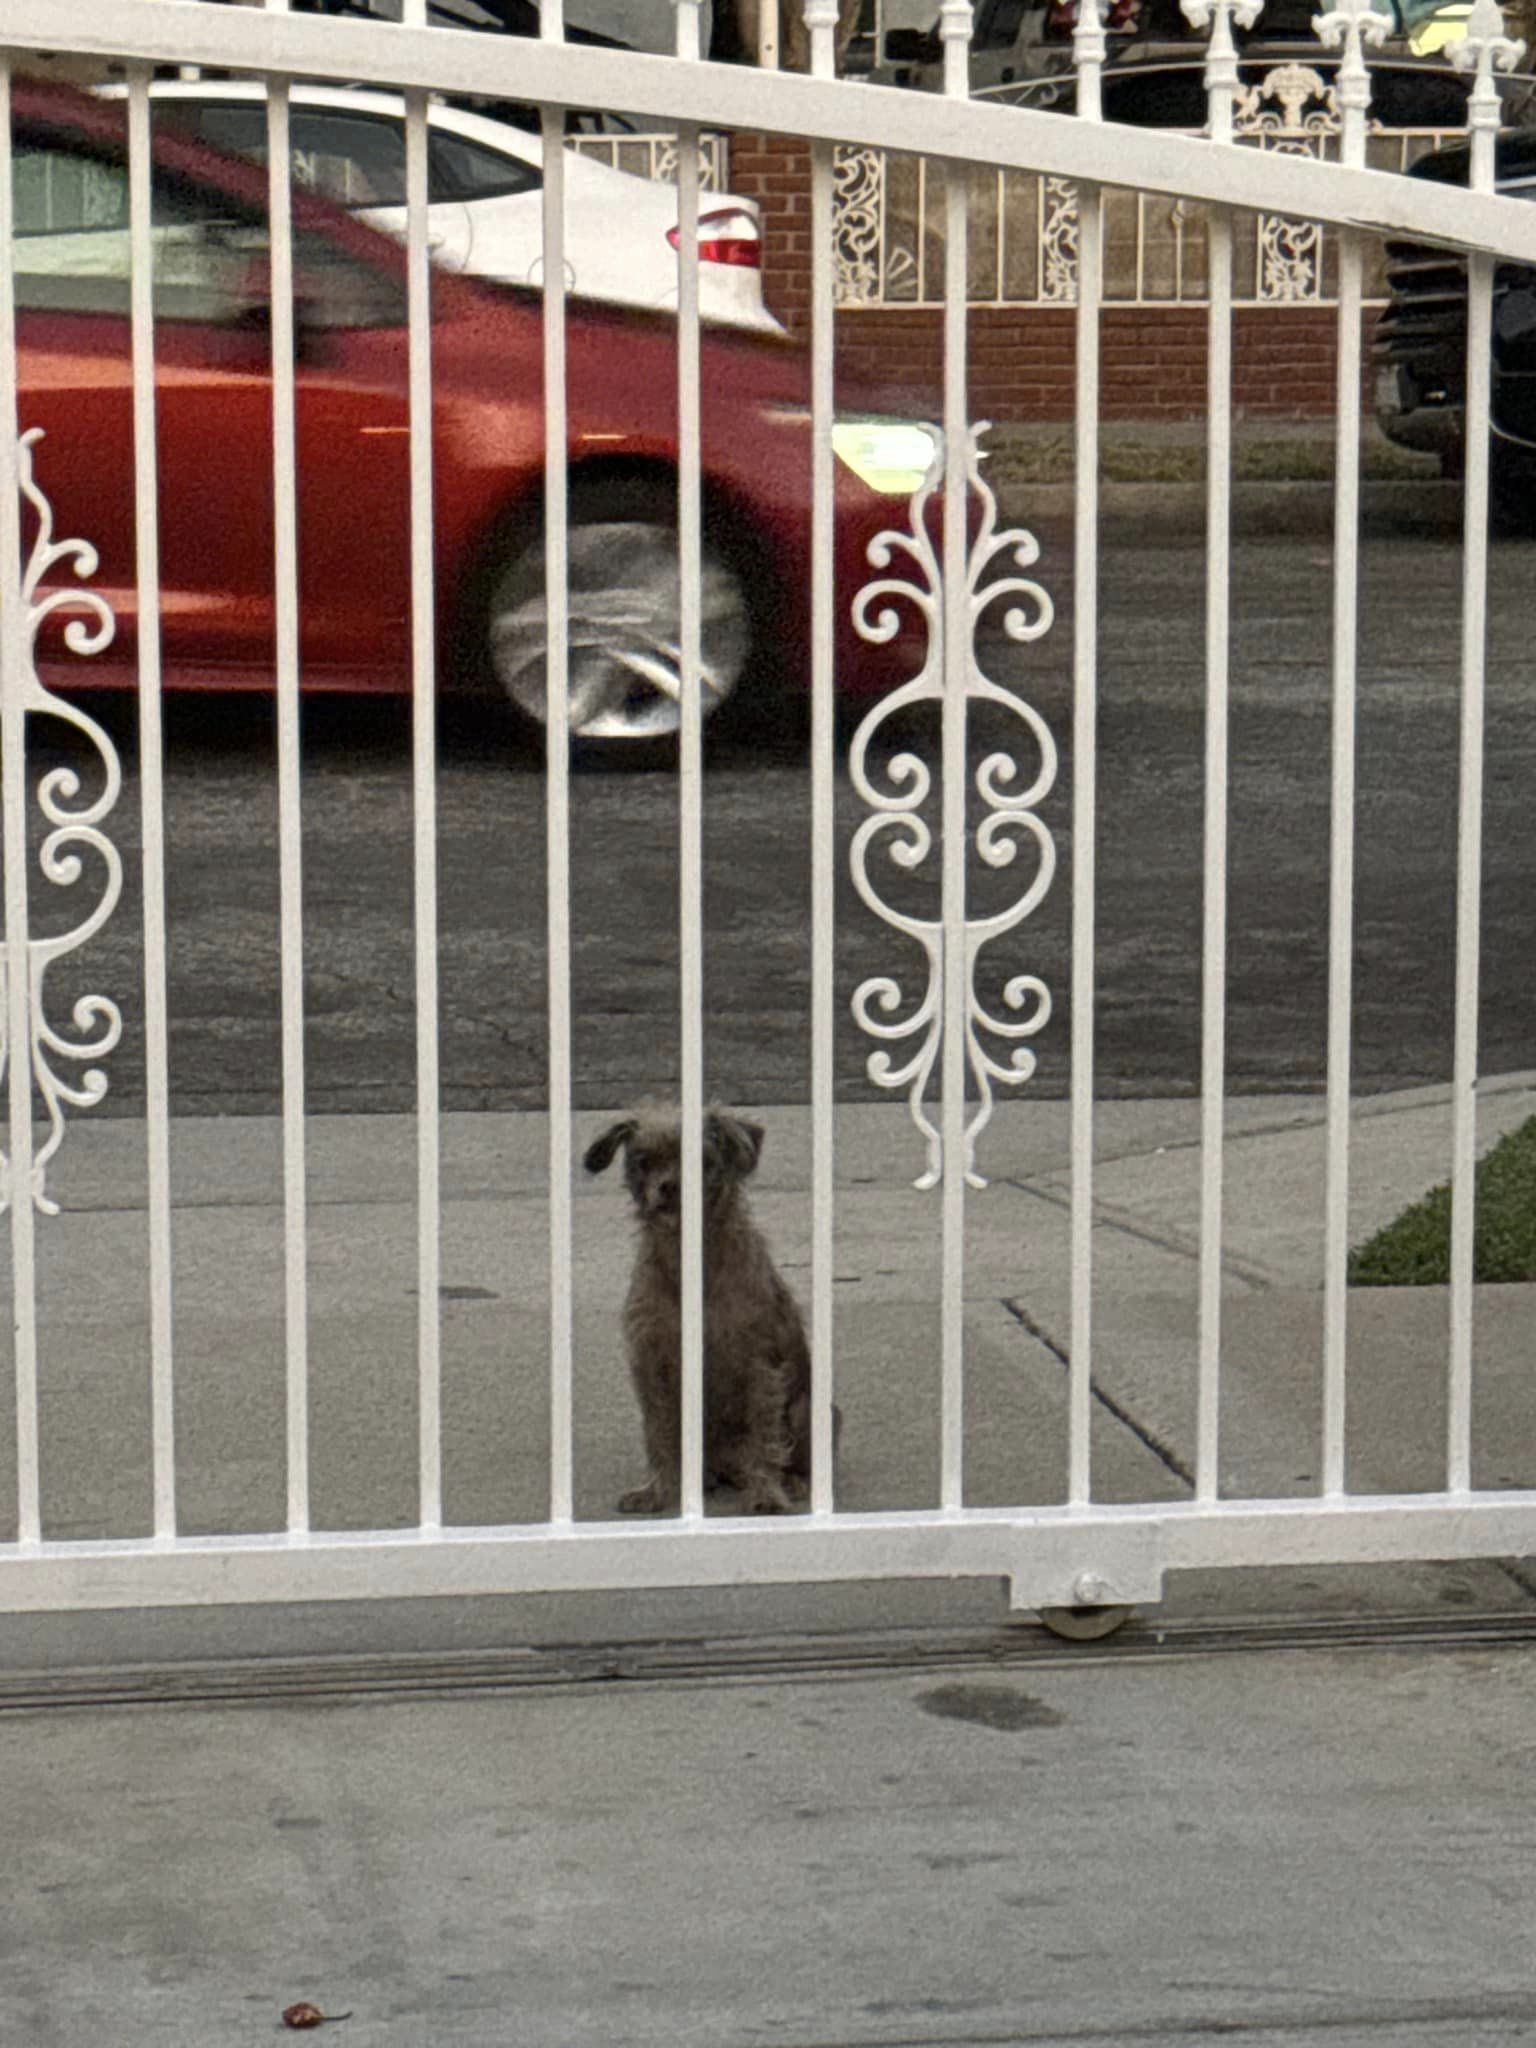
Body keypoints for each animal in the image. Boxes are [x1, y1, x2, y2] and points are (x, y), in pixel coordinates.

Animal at [581, 1105, 835, 1523]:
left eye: (700, 1158)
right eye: (642, 1161)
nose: (669, 1186)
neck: (691, 1259)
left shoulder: (759, 1363)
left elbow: (764, 1432)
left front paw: (766, 1492)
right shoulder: (652, 1366)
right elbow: (658, 1434)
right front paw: (656, 1489)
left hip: (808, 1409)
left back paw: (791, 1481)